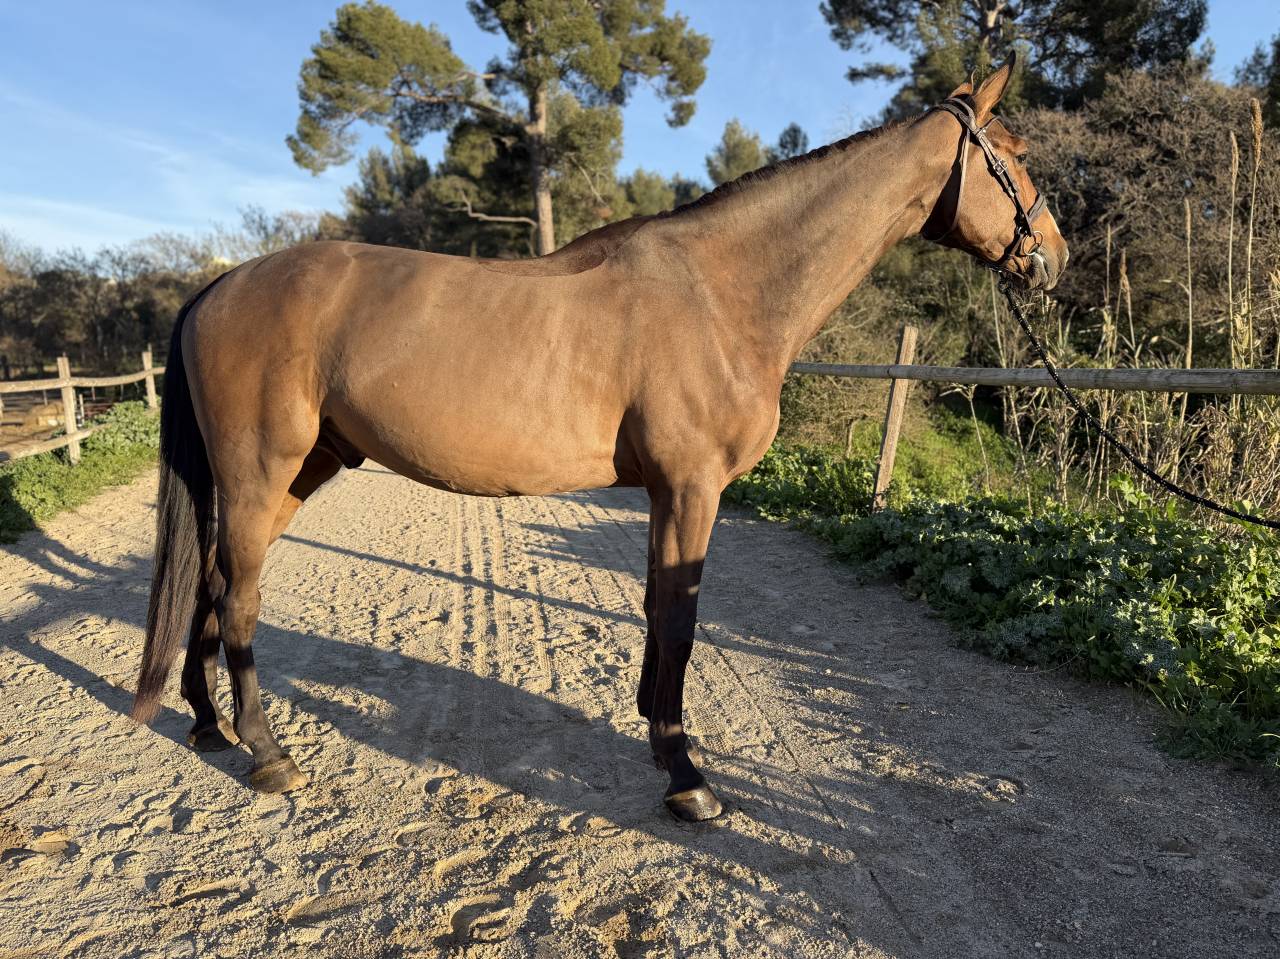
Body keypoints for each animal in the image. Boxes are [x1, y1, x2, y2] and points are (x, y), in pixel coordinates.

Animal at [132, 56, 1067, 822]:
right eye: (1014, 153)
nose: (1054, 257)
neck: (719, 291)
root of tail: (218, 285)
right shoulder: (691, 486)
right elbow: (681, 619)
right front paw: (688, 779)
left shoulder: (667, 491)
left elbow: (658, 609)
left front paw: (660, 737)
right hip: (261, 472)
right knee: (237, 595)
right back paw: (268, 754)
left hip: (297, 472)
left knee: (209, 585)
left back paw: (209, 726)